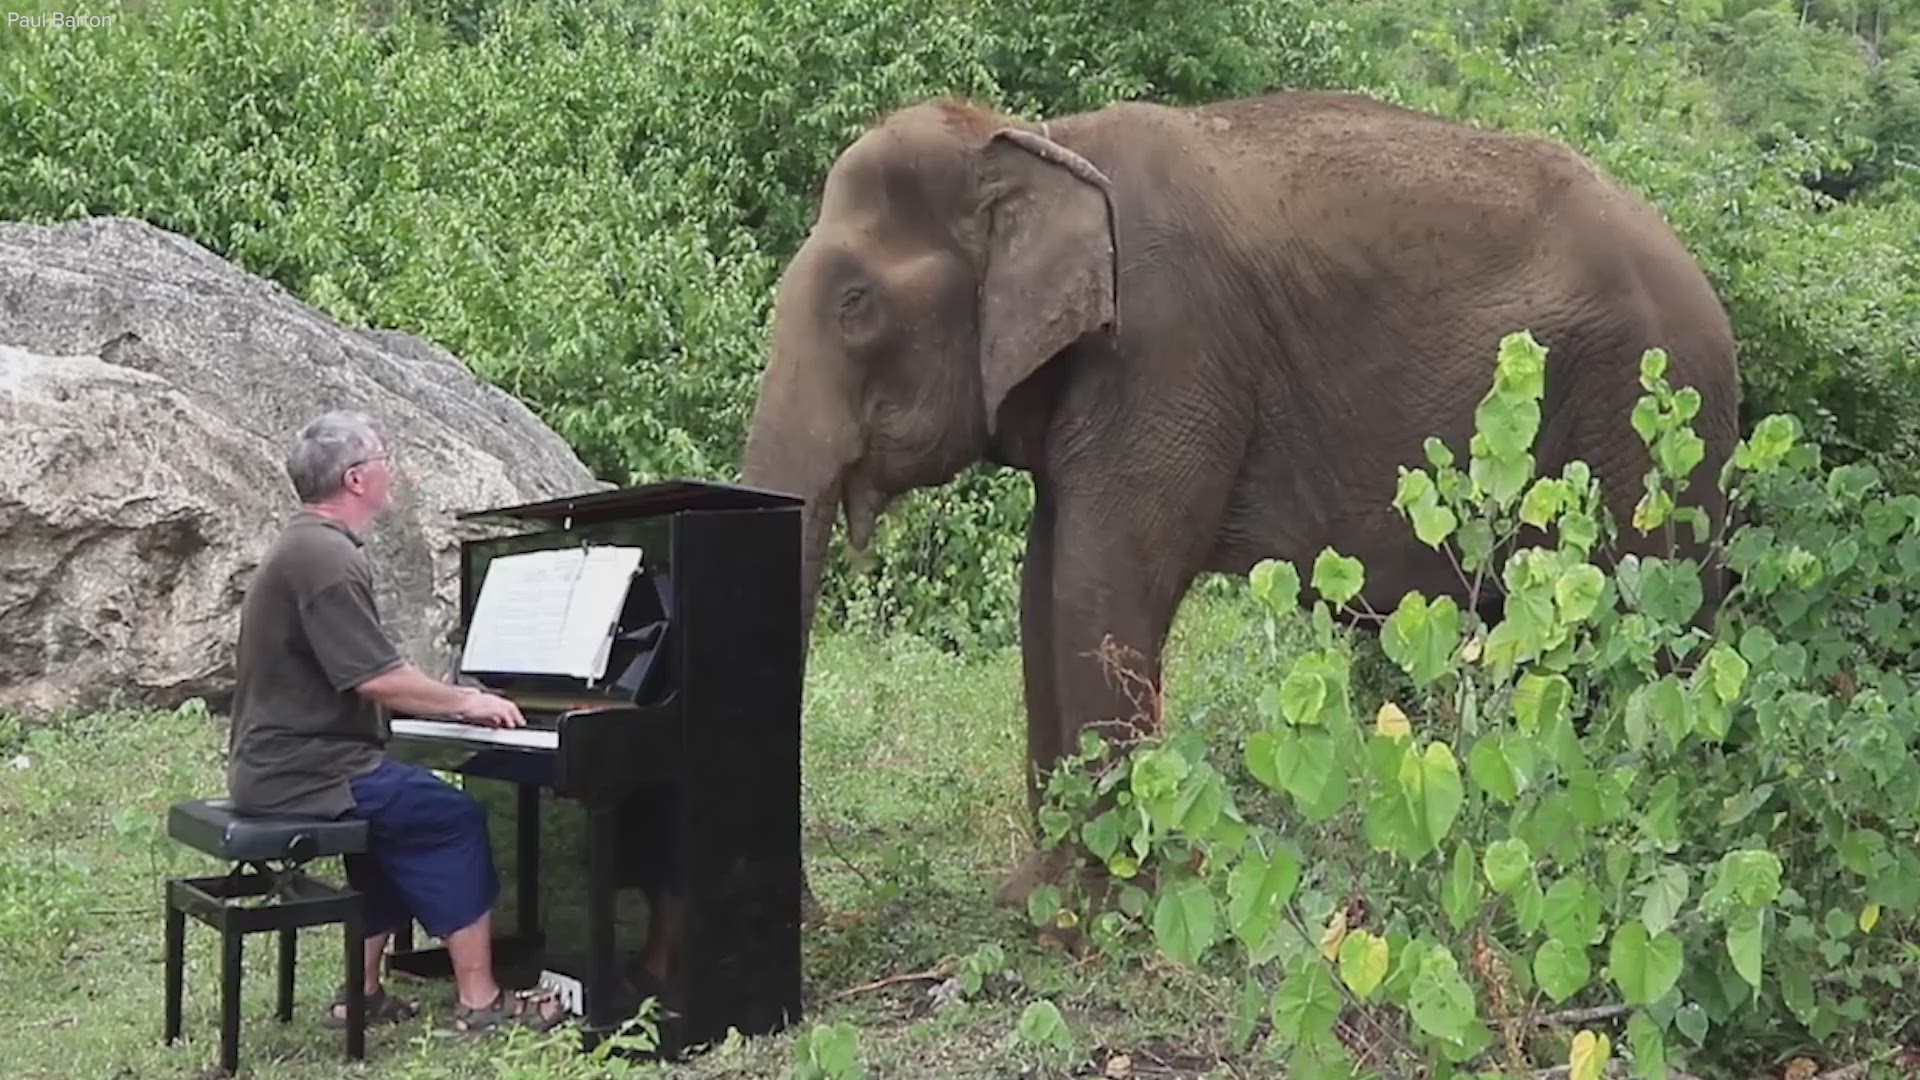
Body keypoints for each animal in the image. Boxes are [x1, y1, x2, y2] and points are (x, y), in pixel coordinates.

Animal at [733, 88, 1743, 903]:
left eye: (855, 304)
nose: (820, 911)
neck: (1034, 139)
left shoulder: (1166, 351)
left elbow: (1101, 587)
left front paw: (1097, 919)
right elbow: (1043, 587)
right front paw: (1035, 899)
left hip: (1644, 425)